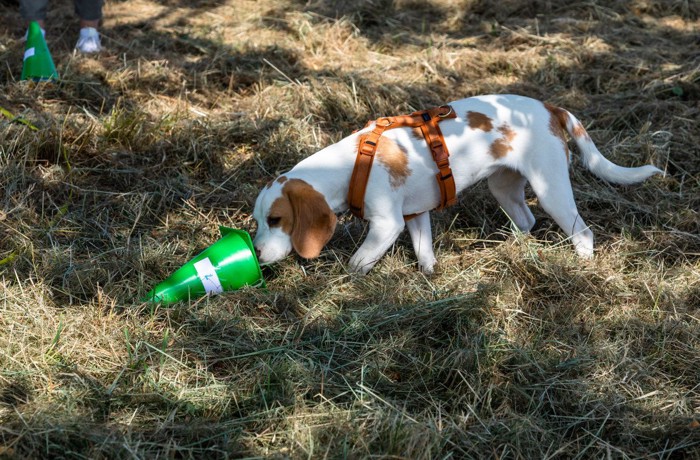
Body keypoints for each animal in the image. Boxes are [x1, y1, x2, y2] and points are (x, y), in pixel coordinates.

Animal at [253, 94, 660, 274]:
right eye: (257, 222)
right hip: (504, 187)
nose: (255, 252)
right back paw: (511, 250)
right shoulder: (415, 216)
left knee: (583, 233)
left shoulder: (387, 224)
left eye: (276, 220)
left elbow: (357, 262)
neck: (352, 163)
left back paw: (582, 266)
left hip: (551, 189)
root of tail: (550, 109)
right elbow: (425, 255)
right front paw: (431, 279)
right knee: (526, 221)